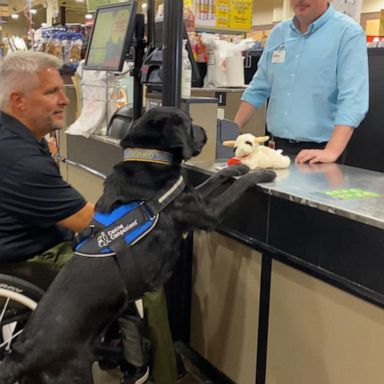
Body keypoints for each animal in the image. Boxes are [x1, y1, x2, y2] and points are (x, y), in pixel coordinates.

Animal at [0, 106, 276, 382]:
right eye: (189, 122)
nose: (206, 131)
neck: (149, 159)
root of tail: (19, 357)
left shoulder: (194, 196)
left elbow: (218, 176)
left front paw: (237, 169)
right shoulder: (209, 213)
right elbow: (238, 188)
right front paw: (261, 172)